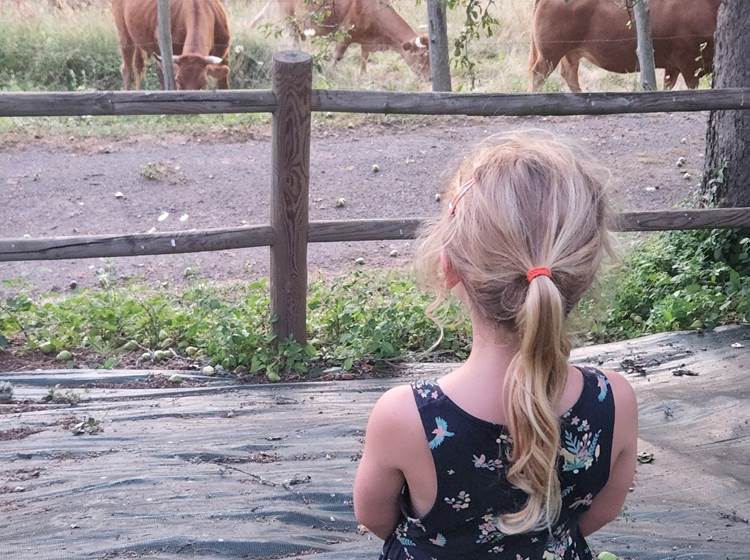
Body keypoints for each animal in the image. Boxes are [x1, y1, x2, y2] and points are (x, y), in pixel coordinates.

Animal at [253, 0, 432, 81]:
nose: (430, 78)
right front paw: (329, 75)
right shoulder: (345, 34)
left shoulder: (366, 41)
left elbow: (364, 58)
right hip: (288, 18)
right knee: (293, 41)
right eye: (421, 55)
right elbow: (337, 56)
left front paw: (363, 77)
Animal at [528, 0, 724, 91]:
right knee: (538, 74)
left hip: (570, 53)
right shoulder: (689, 62)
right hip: (550, 53)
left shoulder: (673, 66)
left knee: (569, 75)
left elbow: (668, 86)